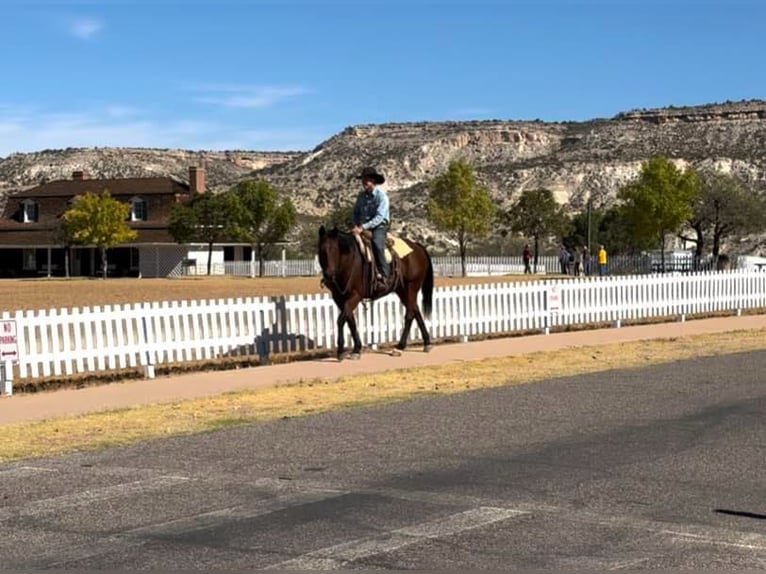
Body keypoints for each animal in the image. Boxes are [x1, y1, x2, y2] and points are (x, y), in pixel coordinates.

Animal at [316, 227, 436, 362]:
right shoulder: (339, 298)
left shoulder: (354, 296)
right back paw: (427, 343)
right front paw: (356, 349)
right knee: (416, 311)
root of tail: (418, 247)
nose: (329, 276)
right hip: (402, 291)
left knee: (410, 315)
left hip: (411, 288)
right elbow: (351, 320)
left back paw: (399, 347)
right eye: (321, 251)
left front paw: (341, 351)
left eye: (336, 250)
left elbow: (341, 320)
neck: (349, 261)